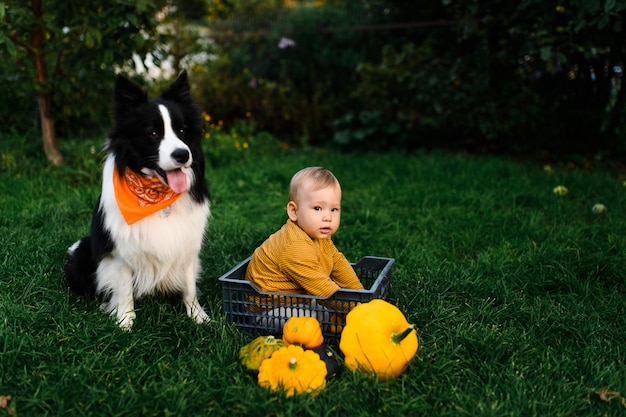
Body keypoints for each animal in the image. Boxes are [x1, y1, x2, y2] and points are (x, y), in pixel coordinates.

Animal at [64, 72, 210, 332]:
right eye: (152, 133)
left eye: (182, 130)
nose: (183, 154)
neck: (156, 196)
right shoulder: (119, 251)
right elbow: (124, 288)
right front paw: (125, 321)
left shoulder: (187, 243)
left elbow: (190, 285)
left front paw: (196, 315)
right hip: (83, 251)